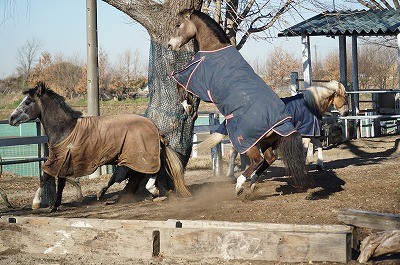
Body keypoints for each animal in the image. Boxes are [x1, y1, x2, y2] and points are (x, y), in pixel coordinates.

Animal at [167, 8, 314, 194]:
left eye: (178, 24)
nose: (170, 45)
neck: (214, 47)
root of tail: (283, 122)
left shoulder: (193, 77)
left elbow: (179, 84)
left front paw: (187, 106)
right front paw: (190, 107)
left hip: (247, 142)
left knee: (257, 160)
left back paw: (240, 185)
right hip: (264, 141)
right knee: (269, 158)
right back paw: (252, 182)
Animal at [199, 81, 346, 177]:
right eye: (344, 96)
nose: (346, 112)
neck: (310, 104)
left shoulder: (310, 134)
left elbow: (319, 145)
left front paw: (320, 165)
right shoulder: (306, 133)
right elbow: (305, 151)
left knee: (235, 153)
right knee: (234, 153)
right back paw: (233, 175)